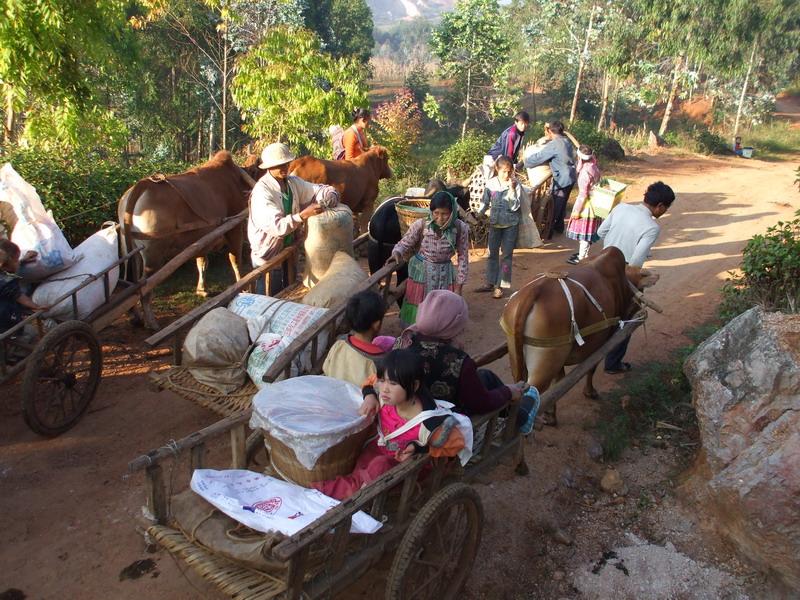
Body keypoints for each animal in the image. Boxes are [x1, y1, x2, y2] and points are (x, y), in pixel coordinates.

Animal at [119, 150, 255, 328]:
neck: (236, 179)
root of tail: (142, 186)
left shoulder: (202, 237)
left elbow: (201, 262)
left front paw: (201, 290)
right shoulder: (234, 226)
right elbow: (235, 259)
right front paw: (242, 285)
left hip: (131, 251)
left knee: (130, 283)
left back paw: (136, 316)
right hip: (153, 255)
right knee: (145, 286)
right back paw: (151, 322)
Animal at [500, 246, 656, 424]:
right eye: (641, 290)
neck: (620, 283)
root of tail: (533, 291)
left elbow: (558, 383)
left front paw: (550, 414)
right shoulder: (603, 341)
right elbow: (591, 368)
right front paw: (590, 392)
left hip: (518, 353)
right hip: (544, 364)